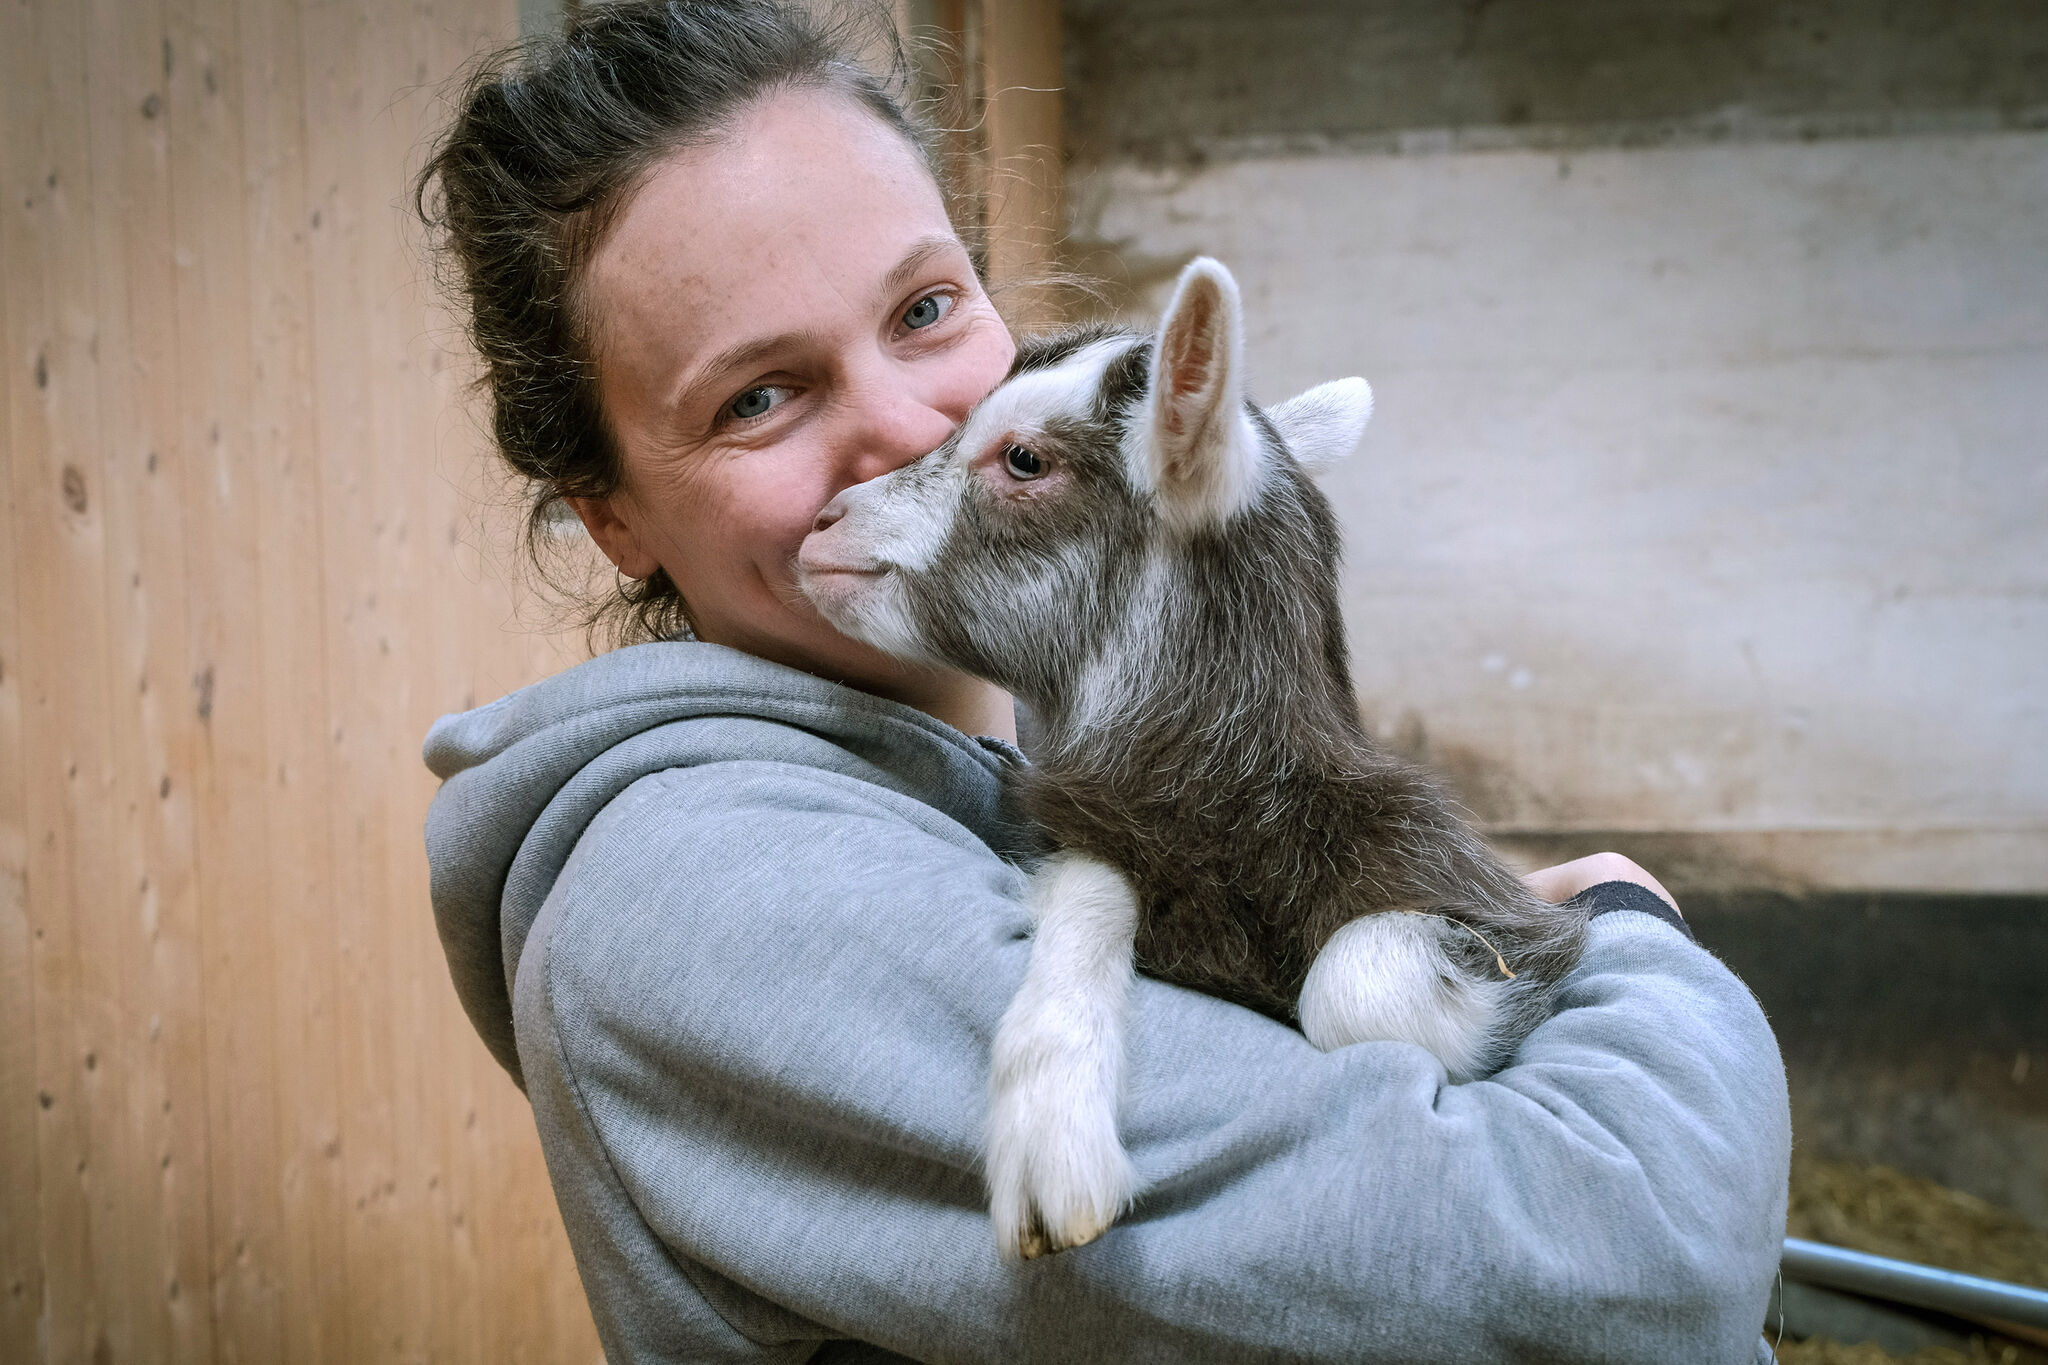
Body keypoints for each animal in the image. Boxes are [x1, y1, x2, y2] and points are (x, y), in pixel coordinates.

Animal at [794, 258, 1581, 1268]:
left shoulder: (1509, 917)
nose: (824, 523)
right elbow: (1095, 883)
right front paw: (1055, 1138)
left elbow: (1356, 986)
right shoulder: (1097, 832)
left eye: (1024, 459)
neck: (1234, 808)